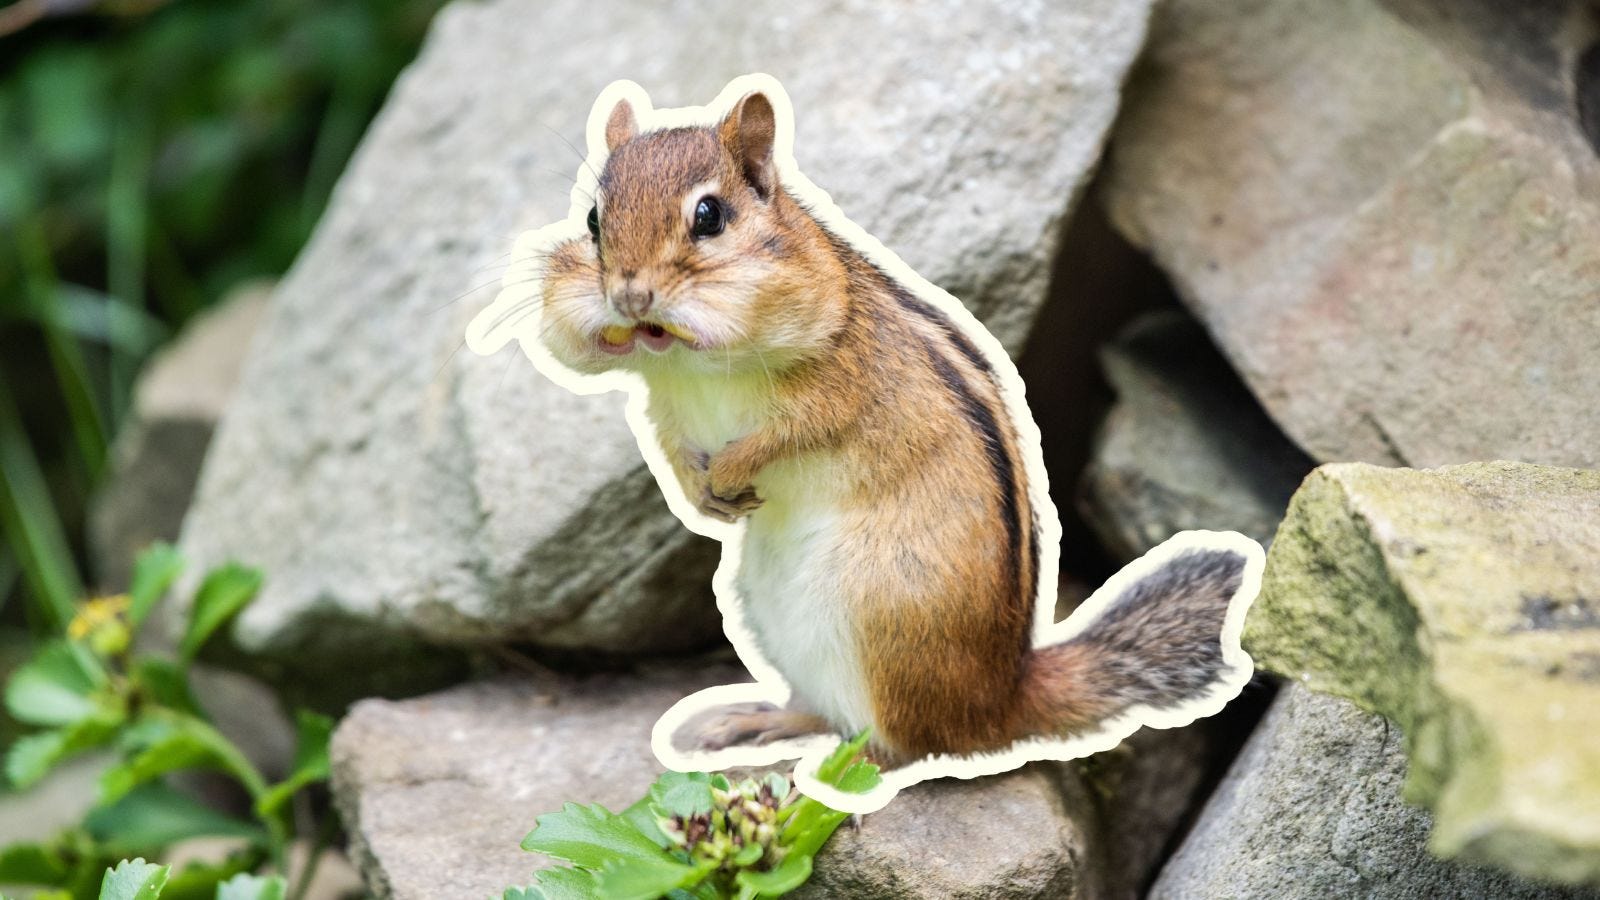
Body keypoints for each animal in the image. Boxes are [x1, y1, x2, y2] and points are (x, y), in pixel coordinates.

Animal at [523, 82, 1256, 770]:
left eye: (710, 216)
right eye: (593, 218)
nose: (629, 294)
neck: (691, 365)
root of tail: (998, 699)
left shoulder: (837, 388)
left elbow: (789, 434)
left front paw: (731, 470)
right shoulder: (665, 403)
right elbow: (672, 446)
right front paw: (702, 495)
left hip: (880, 617)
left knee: (908, 746)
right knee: (834, 715)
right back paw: (757, 720)